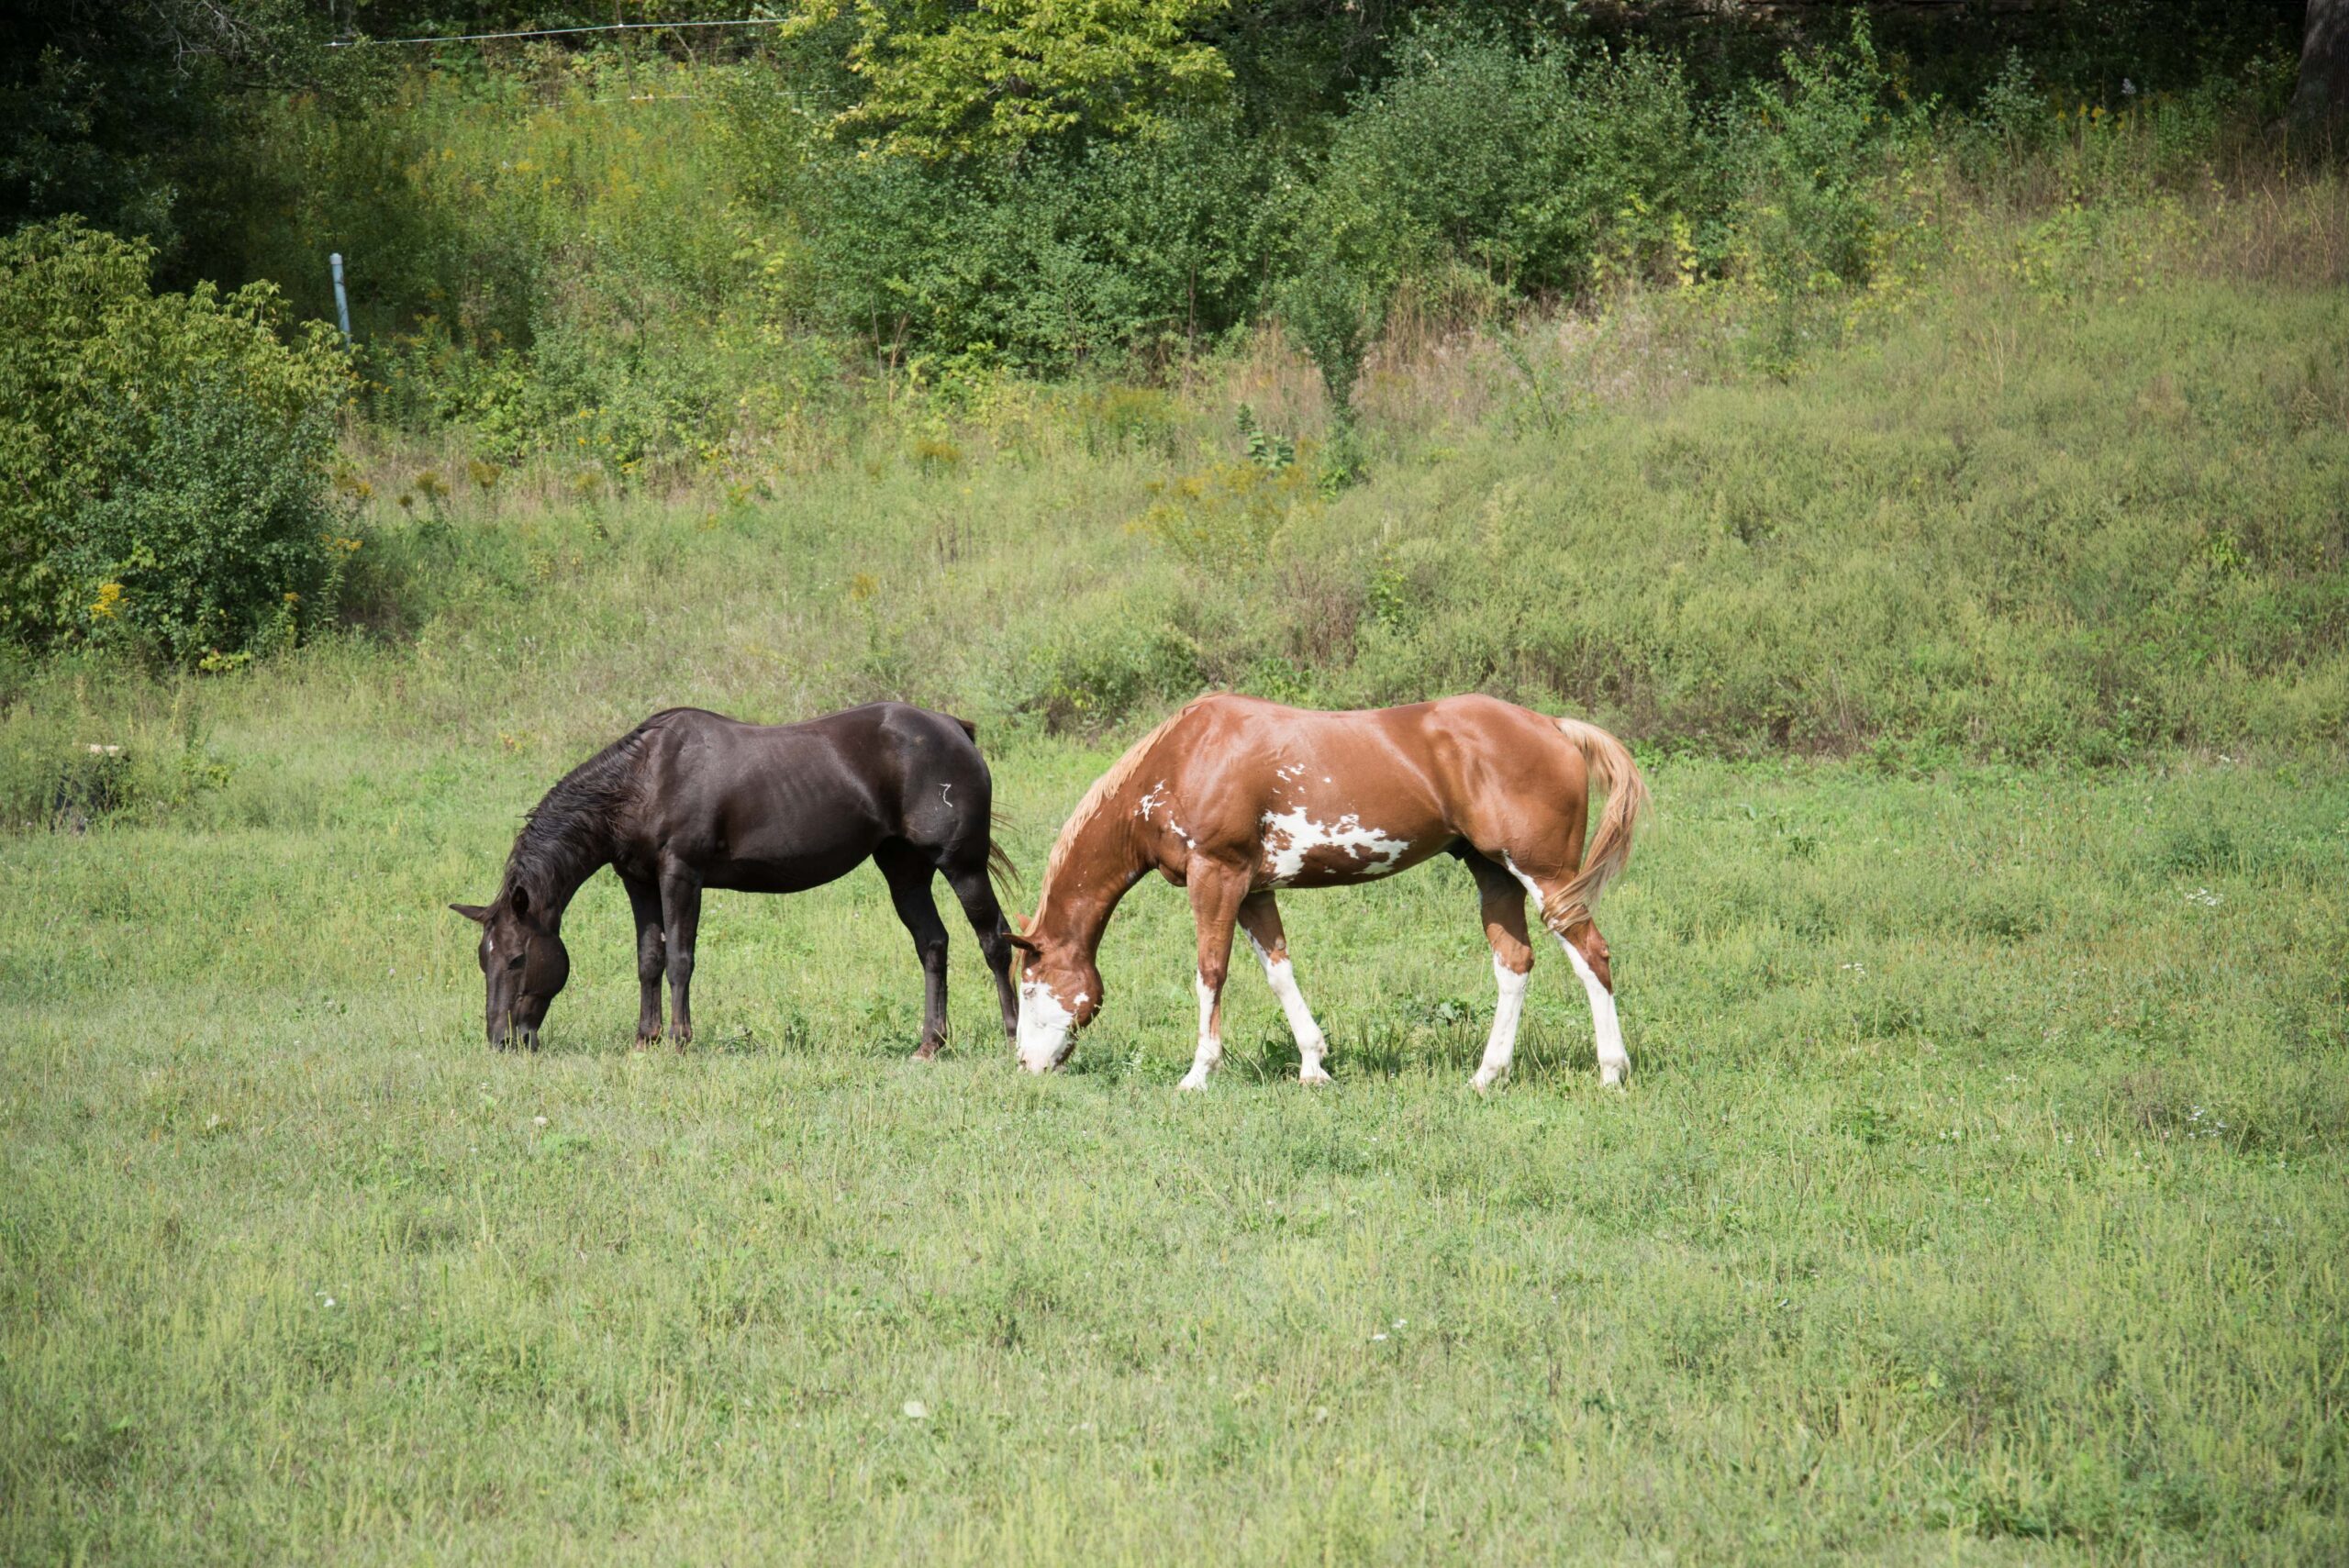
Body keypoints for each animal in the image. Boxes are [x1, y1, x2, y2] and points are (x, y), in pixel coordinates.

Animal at [450, 703, 1020, 1056]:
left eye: (517, 958)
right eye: (483, 959)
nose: (502, 1040)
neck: (645, 778)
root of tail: (953, 727)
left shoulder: (682, 875)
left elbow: (680, 960)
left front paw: (678, 1040)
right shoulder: (639, 881)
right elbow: (649, 959)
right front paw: (644, 1039)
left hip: (962, 866)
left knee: (995, 940)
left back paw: (1016, 1036)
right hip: (904, 869)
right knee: (934, 945)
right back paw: (930, 1044)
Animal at [1004, 693, 1647, 1091]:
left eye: (1030, 988)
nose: (1025, 1065)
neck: (1185, 758)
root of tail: (1555, 726)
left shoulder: (1216, 876)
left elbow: (1210, 972)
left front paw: (1197, 1075)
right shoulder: (1253, 889)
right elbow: (1279, 971)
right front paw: (1314, 1065)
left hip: (1546, 875)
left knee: (1591, 955)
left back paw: (1611, 1072)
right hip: (1494, 874)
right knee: (1514, 964)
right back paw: (1487, 1076)